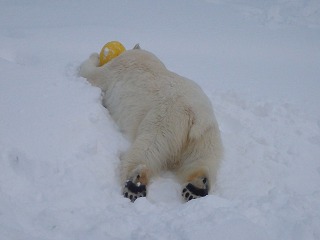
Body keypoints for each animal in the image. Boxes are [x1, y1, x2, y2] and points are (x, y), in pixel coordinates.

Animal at [79, 44, 222, 201]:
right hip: (207, 135)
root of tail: (196, 116)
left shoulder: (116, 68)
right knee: (203, 159)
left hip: (164, 120)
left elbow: (91, 74)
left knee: (148, 148)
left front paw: (94, 56)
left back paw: (135, 183)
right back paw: (196, 187)